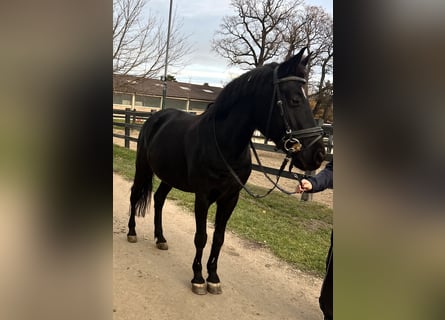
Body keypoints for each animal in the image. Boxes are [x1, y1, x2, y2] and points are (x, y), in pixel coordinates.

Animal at [126, 48, 324, 296]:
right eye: (295, 100)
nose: (318, 154)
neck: (223, 144)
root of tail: (155, 117)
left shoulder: (230, 198)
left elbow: (219, 238)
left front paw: (213, 277)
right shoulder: (202, 197)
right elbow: (201, 237)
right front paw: (198, 278)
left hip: (169, 176)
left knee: (159, 198)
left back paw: (160, 238)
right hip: (142, 167)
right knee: (135, 195)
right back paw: (132, 232)